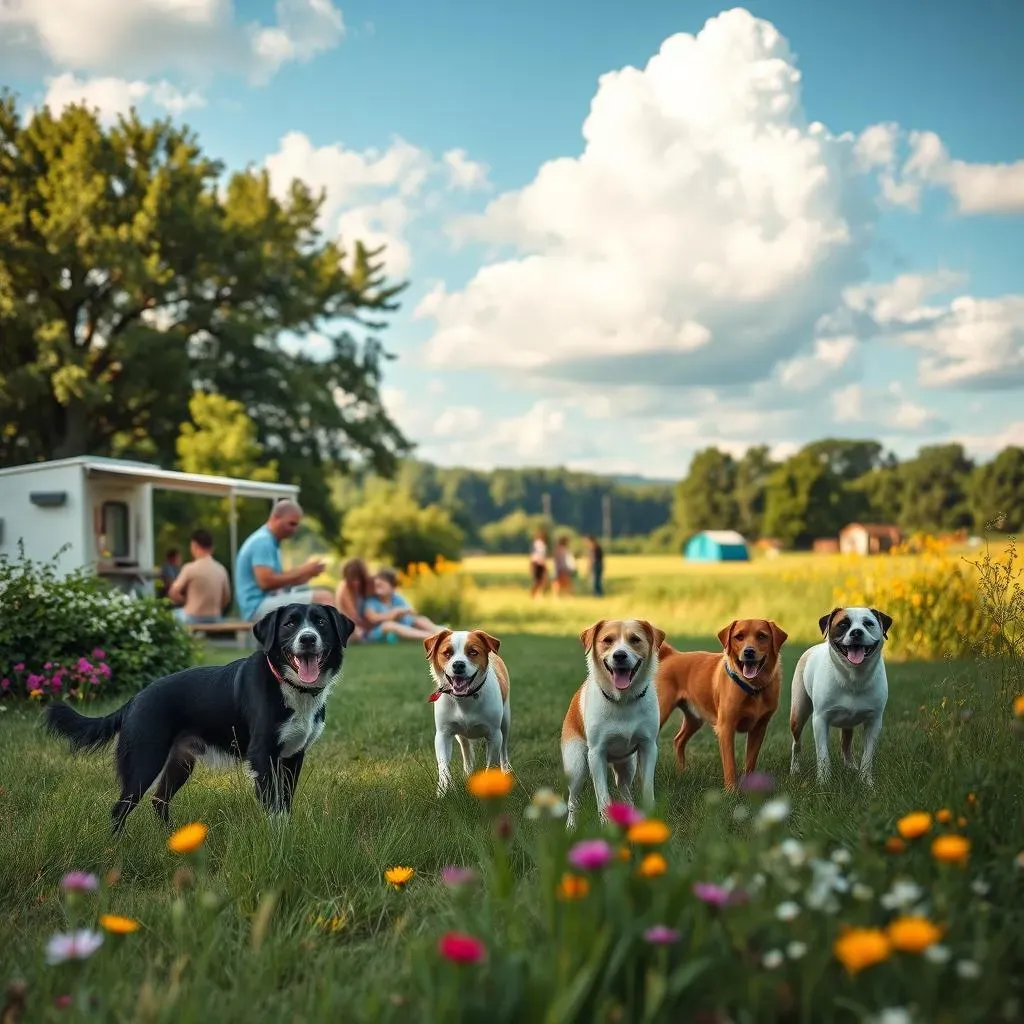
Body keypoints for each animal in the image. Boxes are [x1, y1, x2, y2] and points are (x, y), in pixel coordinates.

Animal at [44, 606, 354, 831]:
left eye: (321, 623)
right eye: (289, 624)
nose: (308, 638)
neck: (289, 685)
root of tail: (135, 699)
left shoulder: (293, 756)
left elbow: (285, 803)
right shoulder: (262, 755)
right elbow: (274, 806)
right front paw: (277, 841)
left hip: (180, 763)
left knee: (159, 800)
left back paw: (172, 840)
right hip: (144, 761)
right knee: (119, 808)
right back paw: (116, 849)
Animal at [421, 626, 509, 794]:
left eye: (473, 652)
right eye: (447, 653)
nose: (458, 665)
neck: (464, 700)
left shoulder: (494, 735)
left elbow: (491, 764)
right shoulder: (443, 734)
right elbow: (443, 766)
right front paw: (443, 790)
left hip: (506, 721)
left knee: (504, 749)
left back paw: (507, 770)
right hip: (461, 735)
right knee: (466, 749)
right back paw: (467, 773)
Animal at [561, 614, 663, 831]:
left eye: (635, 639)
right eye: (607, 640)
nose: (620, 655)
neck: (623, 701)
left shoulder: (648, 747)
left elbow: (647, 789)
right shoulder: (596, 754)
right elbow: (603, 796)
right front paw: (606, 825)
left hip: (627, 766)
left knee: (624, 791)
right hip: (576, 765)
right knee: (573, 800)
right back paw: (571, 826)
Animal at [655, 614, 790, 790]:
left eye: (762, 636)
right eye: (739, 636)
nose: (749, 652)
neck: (752, 688)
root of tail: (673, 655)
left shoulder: (759, 728)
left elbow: (750, 761)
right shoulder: (726, 728)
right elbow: (730, 764)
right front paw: (731, 790)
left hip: (694, 718)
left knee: (678, 740)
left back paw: (681, 772)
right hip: (660, 712)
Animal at [786, 602, 892, 786]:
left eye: (868, 623)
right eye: (843, 624)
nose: (856, 632)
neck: (853, 677)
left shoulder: (874, 721)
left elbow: (868, 755)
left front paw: (866, 781)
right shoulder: (820, 719)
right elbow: (823, 754)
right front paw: (823, 781)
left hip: (848, 724)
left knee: (846, 744)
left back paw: (850, 767)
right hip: (798, 713)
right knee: (796, 743)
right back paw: (795, 769)